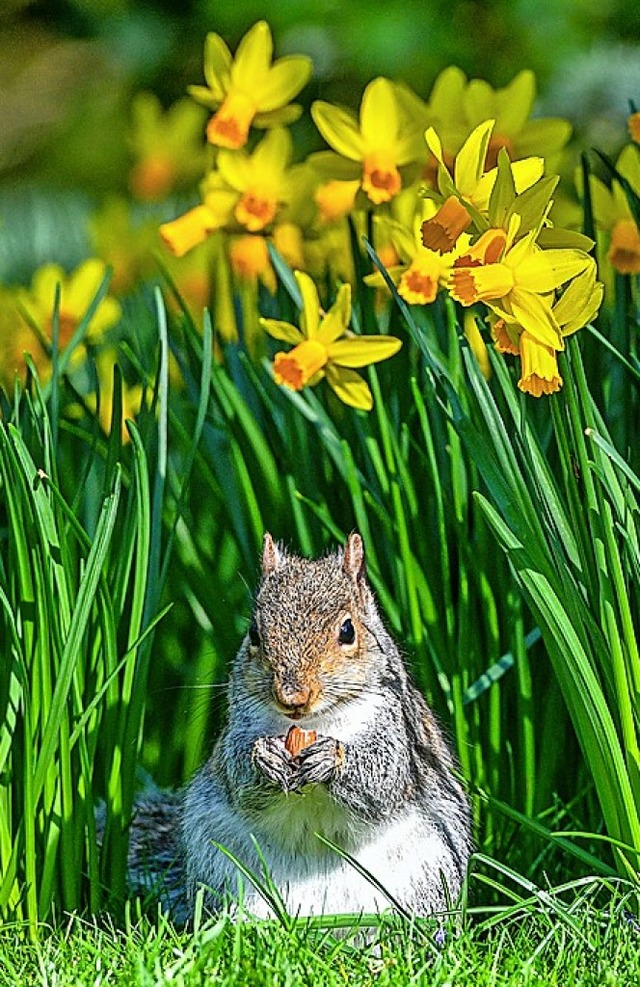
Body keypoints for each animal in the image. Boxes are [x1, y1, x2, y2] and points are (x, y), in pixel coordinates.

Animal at [127, 536, 472, 924]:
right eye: (254, 633)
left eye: (348, 631)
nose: (292, 696)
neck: (310, 724)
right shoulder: (238, 729)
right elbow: (238, 775)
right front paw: (264, 757)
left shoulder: (397, 730)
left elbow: (383, 779)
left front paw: (332, 758)